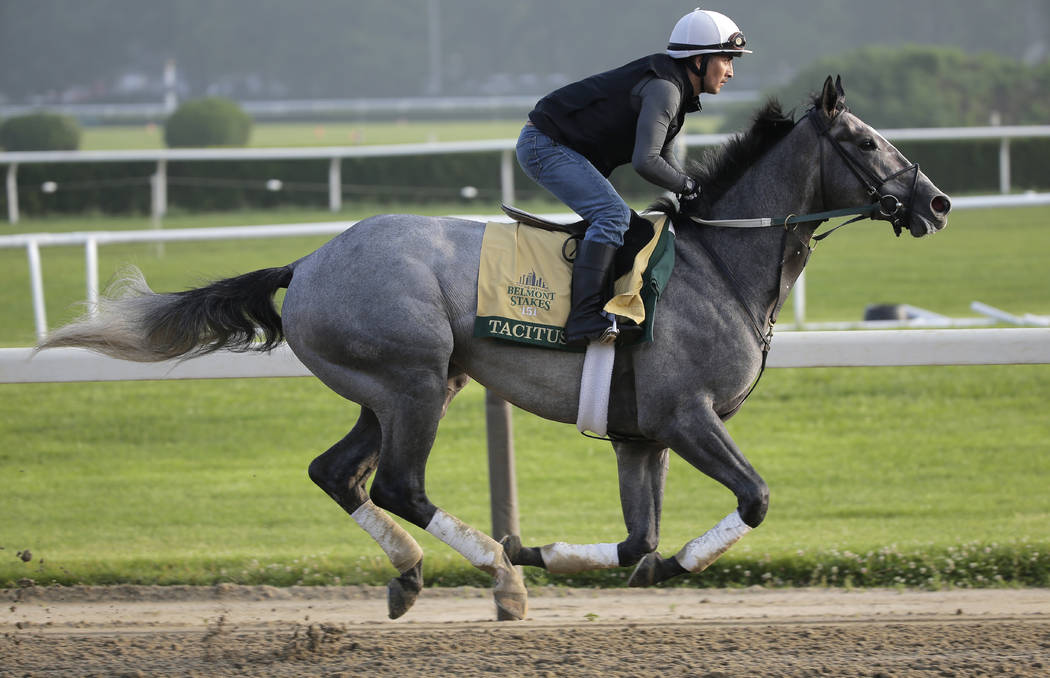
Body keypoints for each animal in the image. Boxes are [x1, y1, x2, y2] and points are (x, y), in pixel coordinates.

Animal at [38, 78, 953, 621]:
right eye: (865, 142)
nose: (938, 202)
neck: (721, 265)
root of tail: (310, 260)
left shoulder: (641, 437)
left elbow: (637, 545)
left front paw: (569, 555)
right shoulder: (688, 416)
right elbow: (753, 499)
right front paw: (547, 557)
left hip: (407, 387)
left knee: (338, 474)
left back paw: (416, 575)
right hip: (409, 381)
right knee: (399, 485)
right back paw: (500, 577)